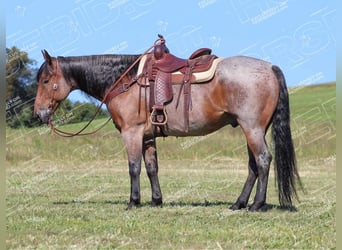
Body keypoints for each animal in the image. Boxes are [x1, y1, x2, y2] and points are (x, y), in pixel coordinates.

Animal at [34, 43, 302, 211]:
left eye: (46, 80)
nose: (39, 113)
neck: (125, 80)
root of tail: (269, 67)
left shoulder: (132, 133)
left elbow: (134, 168)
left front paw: (133, 202)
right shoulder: (147, 136)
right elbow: (152, 168)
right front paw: (156, 200)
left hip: (252, 128)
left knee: (263, 160)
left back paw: (256, 205)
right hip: (253, 130)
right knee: (253, 166)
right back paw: (238, 203)